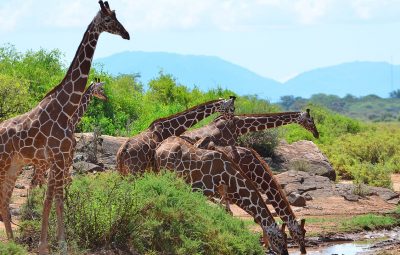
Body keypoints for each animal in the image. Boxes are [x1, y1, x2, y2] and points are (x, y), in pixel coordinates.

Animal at [0, 1, 129, 253]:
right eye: (108, 19)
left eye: (117, 15)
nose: (126, 34)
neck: (66, 109)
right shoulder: (59, 158)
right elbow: (54, 198)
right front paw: (56, 244)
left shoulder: (58, 159)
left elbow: (53, 198)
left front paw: (52, 243)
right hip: (4, 162)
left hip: (15, 164)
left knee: (5, 197)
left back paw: (11, 242)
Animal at [155, 136, 290, 255]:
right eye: (280, 237)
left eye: (286, 237)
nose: (285, 252)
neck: (227, 176)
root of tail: (158, 147)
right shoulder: (202, 191)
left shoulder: (218, 193)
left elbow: (224, 212)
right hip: (165, 174)